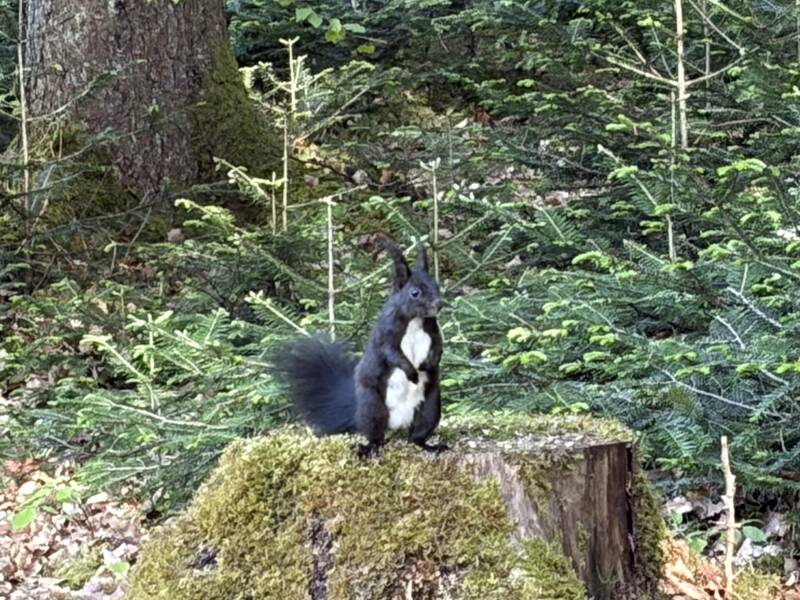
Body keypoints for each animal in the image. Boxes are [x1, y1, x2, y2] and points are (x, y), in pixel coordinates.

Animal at [275, 242, 446, 457]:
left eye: (436, 285)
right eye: (415, 292)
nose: (439, 304)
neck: (416, 320)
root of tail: (397, 424)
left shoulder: (433, 333)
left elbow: (438, 347)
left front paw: (428, 364)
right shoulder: (385, 335)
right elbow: (392, 354)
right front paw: (412, 372)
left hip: (430, 408)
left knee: (416, 436)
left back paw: (430, 446)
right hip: (372, 407)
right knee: (376, 435)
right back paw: (368, 448)